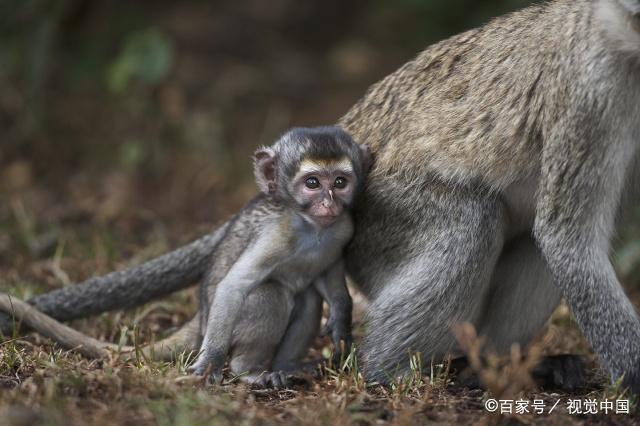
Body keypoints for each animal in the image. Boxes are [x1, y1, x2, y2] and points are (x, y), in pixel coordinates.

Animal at [189, 126, 370, 386]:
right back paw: (248, 370)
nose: (329, 203)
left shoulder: (344, 228)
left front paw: (341, 317)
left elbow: (329, 272)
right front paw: (210, 363)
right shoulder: (276, 234)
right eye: (312, 183)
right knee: (272, 294)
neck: (312, 228)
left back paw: (287, 366)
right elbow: (233, 287)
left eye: (340, 182)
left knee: (309, 299)